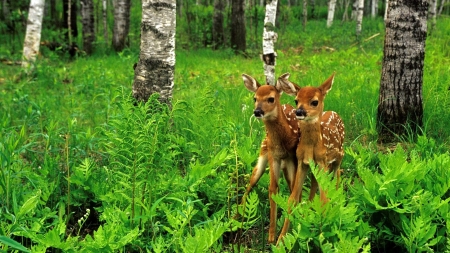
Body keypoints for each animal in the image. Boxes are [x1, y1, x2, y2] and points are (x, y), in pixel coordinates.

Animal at [241, 74, 318, 244]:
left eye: (271, 98)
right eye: (254, 98)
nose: (257, 111)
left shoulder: (293, 158)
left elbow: (293, 192)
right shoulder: (273, 156)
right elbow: (273, 188)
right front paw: (270, 236)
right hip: (263, 153)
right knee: (251, 182)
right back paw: (236, 217)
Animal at [274, 71, 344, 245]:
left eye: (314, 101)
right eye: (296, 100)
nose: (299, 112)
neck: (311, 148)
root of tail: (335, 113)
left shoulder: (323, 161)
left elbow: (324, 198)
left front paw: (324, 235)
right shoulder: (302, 163)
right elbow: (293, 199)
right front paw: (281, 240)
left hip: (339, 156)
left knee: (338, 175)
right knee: (314, 185)